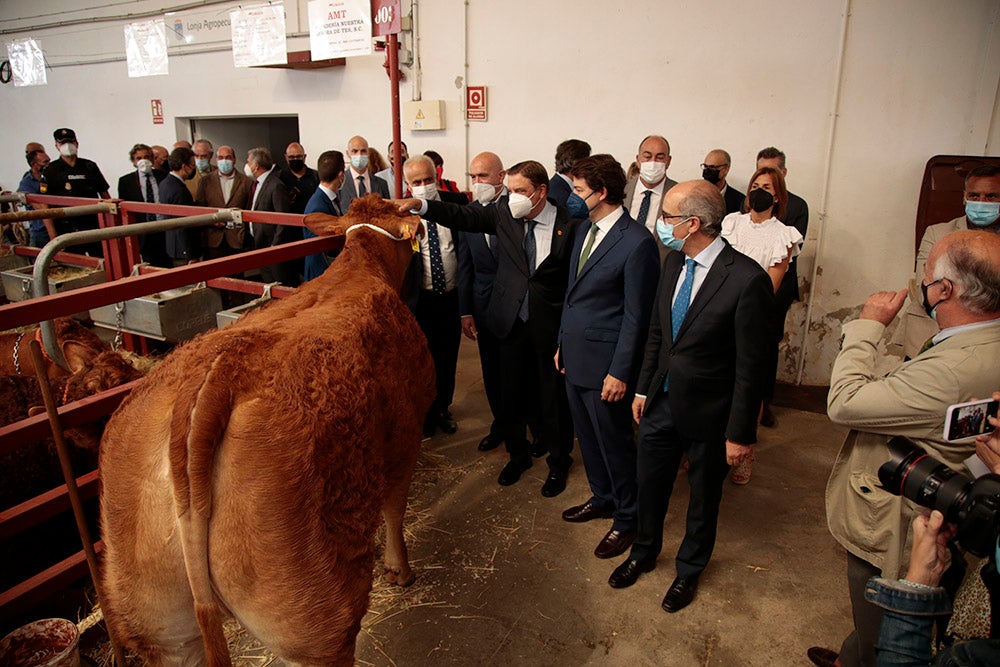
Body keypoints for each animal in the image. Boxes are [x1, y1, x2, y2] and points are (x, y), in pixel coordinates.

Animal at [98, 196, 438, 667]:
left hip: (159, 622)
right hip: (312, 620)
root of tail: (211, 379)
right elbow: (394, 507)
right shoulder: (404, 432)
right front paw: (398, 570)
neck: (360, 267)